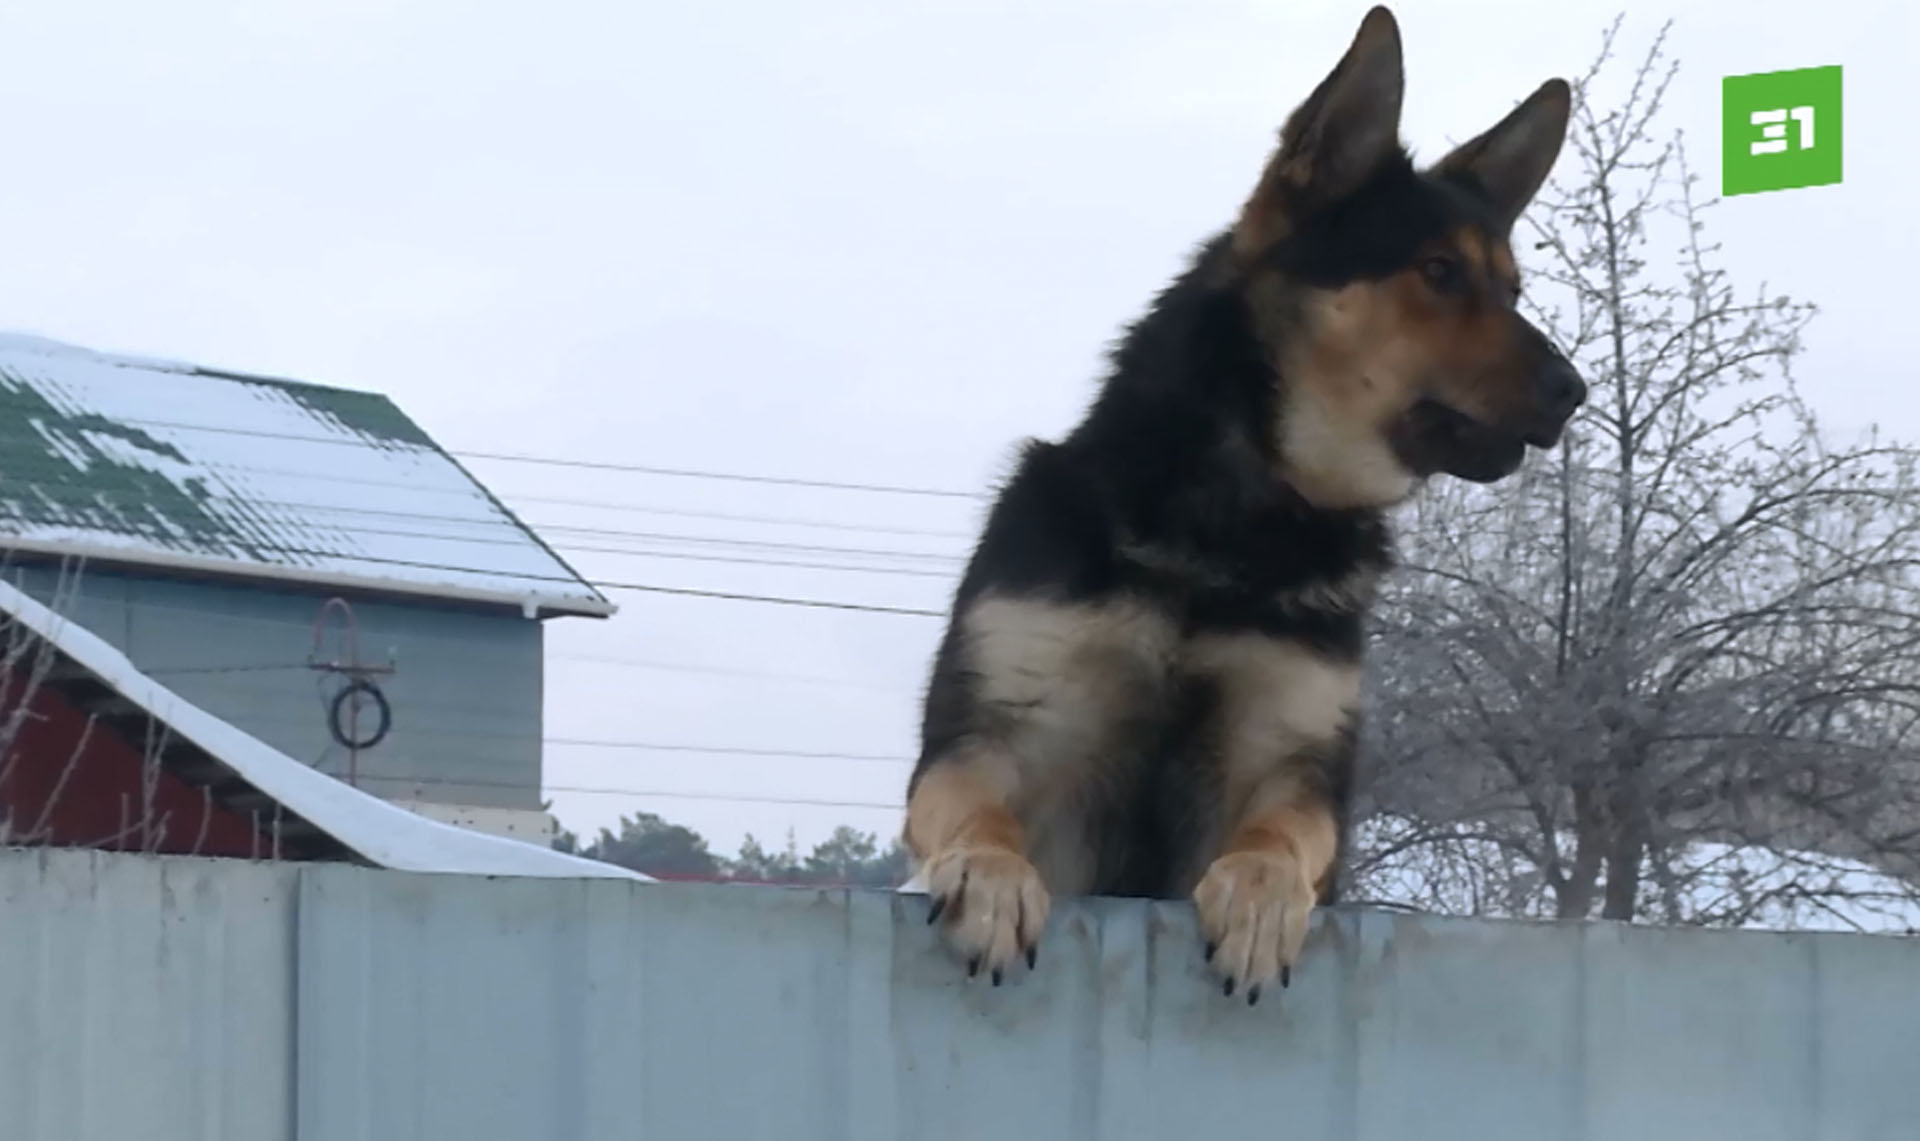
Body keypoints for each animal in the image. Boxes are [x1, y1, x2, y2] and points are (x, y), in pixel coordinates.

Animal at [906, 8, 1582, 1006]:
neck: (1240, 527)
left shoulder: (1293, 761)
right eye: (1437, 272)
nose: (1575, 393)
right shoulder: (989, 733)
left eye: (1512, 290)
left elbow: (1282, 834)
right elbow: (974, 808)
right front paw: (988, 877)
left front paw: (1260, 898)